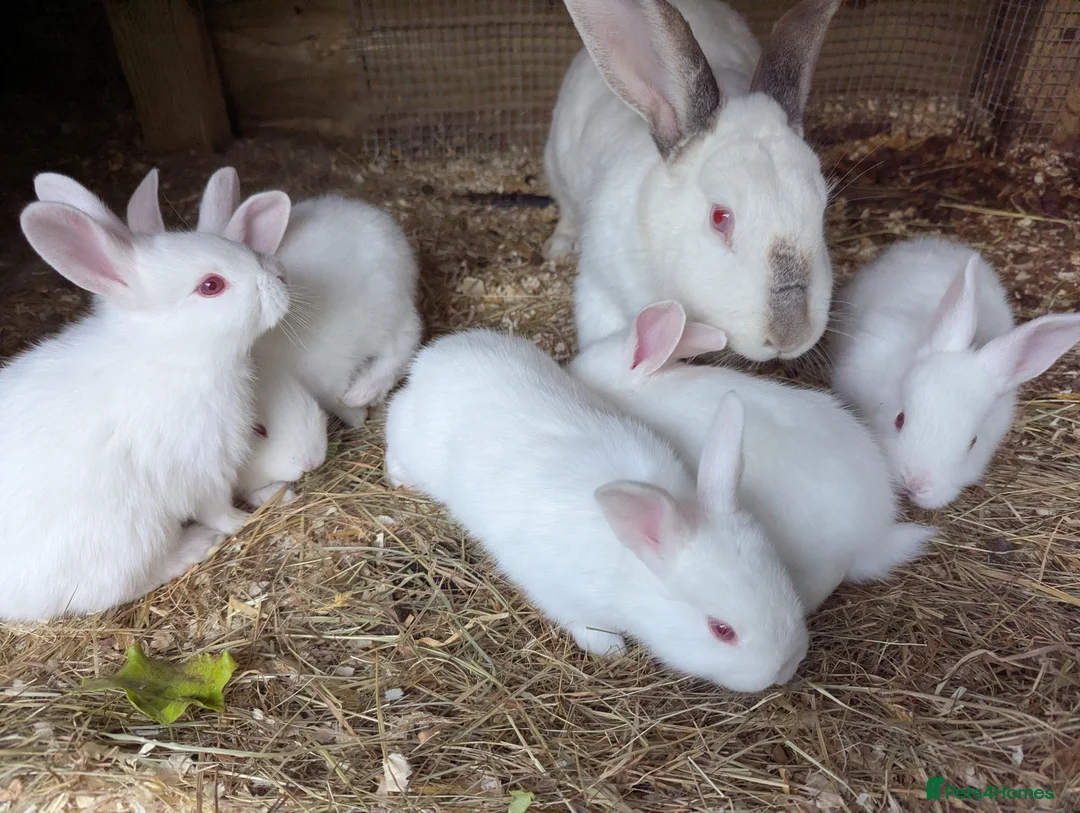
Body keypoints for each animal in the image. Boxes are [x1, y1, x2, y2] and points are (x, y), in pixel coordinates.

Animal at [1, 173, 291, 621]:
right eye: (211, 285)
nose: (281, 278)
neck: (168, 355)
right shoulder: (202, 469)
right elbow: (217, 507)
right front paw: (241, 521)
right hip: (130, 536)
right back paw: (195, 546)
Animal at [384, 329, 808, 693]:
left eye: (785, 578)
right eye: (721, 630)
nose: (787, 666)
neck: (630, 563)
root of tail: (431, 360)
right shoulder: (554, 588)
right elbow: (583, 622)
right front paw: (610, 649)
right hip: (410, 442)